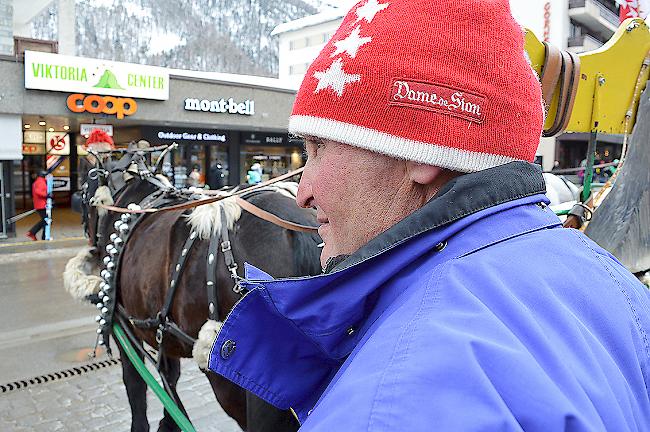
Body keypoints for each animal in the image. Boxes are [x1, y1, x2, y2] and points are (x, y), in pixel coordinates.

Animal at [63, 154, 322, 430]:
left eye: (84, 191)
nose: (93, 248)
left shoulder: (126, 328)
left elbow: (136, 386)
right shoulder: (164, 327)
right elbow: (170, 377)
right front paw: (169, 422)